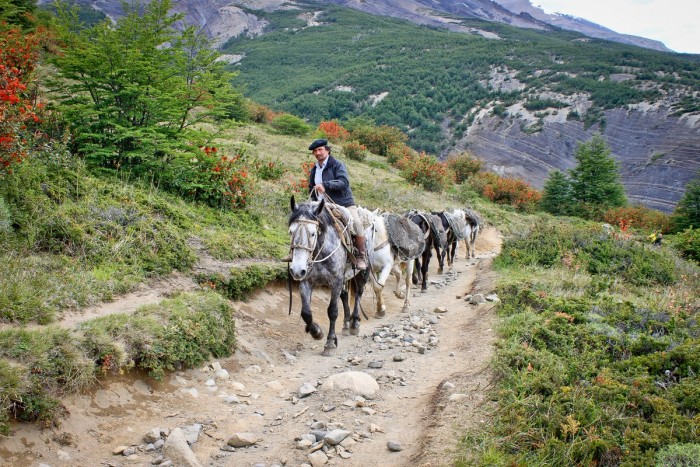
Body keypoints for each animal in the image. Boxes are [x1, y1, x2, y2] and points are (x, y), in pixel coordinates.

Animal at [288, 196, 370, 356]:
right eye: (290, 232)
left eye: (313, 233)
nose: (296, 270)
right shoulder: (306, 281)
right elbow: (306, 312)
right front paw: (316, 332)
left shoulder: (336, 281)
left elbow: (332, 311)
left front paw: (330, 343)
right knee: (345, 296)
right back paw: (346, 324)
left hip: (361, 274)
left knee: (358, 294)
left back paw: (354, 323)